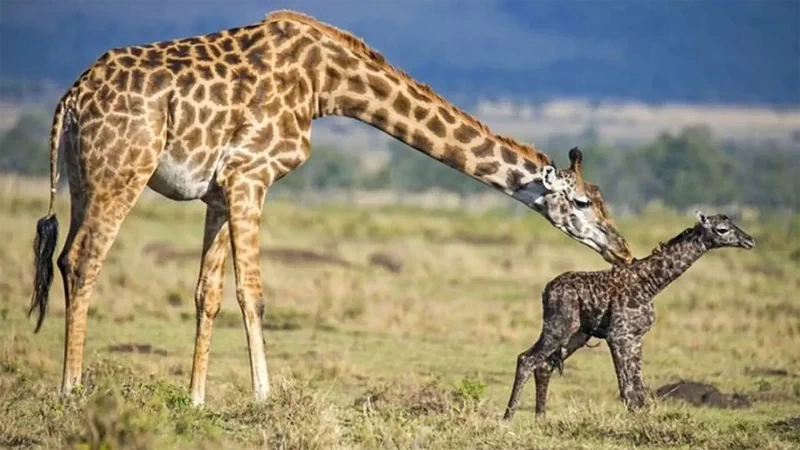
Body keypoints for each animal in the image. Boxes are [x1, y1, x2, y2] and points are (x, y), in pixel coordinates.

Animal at [29, 9, 632, 404]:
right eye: (584, 202)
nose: (621, 250)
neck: (327, 83)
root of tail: (71, 98)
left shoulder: (221, 190)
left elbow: (208, 294)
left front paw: (196, 400)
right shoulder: (251, 175)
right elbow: (253, 293)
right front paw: (264, 396)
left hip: (85, 179)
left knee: (65, 258)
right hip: (122, 173)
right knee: (82, 261)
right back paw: (70, 390)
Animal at [504, 213, 752, 420]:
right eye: (722, 229)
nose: (749, 240)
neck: (650, 284)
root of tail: (546, 289)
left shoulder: (635, 337)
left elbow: (638, 386)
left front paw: (643, 418)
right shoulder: (619, 335)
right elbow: (628, 387)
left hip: (577, 334)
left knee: (544, 365)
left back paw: (541, 419)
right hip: (559, 326)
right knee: (526, 359)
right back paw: (508, 418)